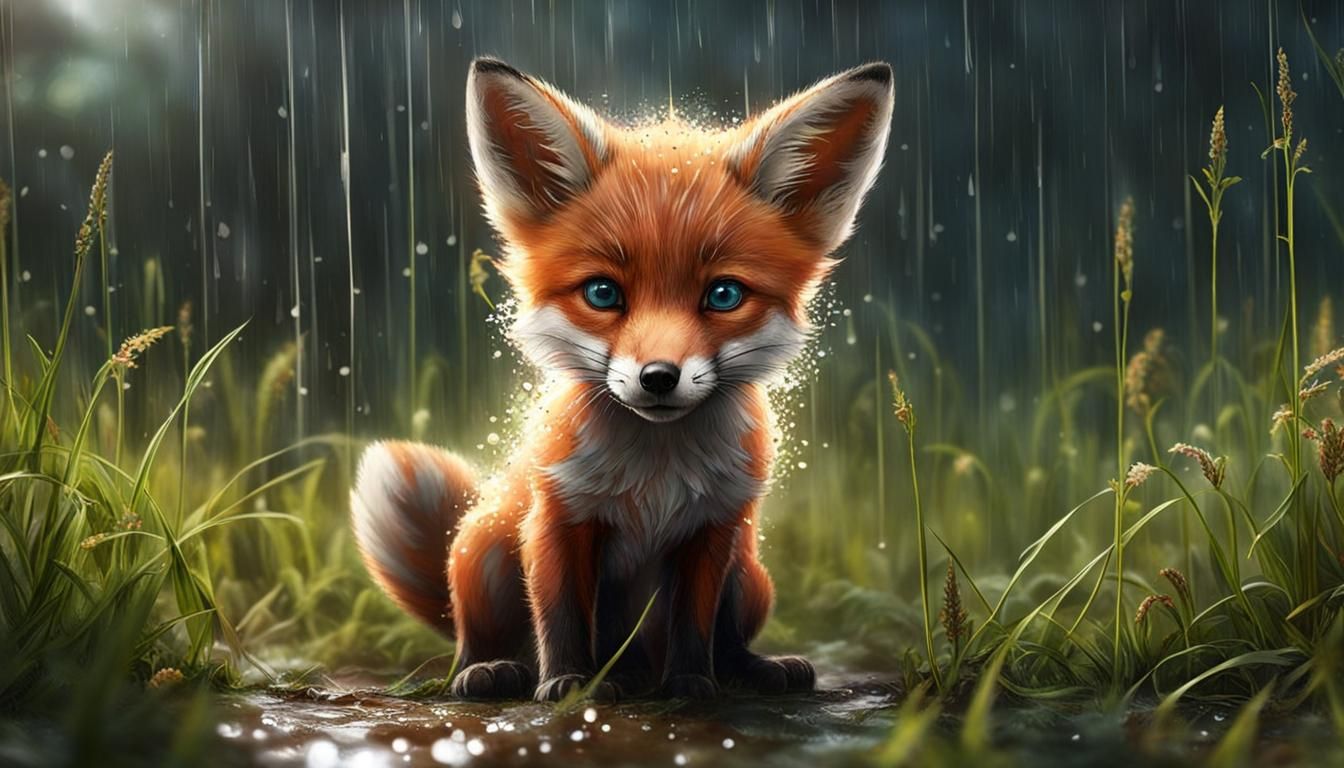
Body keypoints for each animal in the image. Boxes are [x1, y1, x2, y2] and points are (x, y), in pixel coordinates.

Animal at [351, 56, 894, 701]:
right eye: (603, 294)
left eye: (724, 295)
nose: (658, 377)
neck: (653, 479)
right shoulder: (557, 519)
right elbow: (561, 614)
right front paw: (567, 683)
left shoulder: (712, 530)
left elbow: (694, 622)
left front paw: (691, 683)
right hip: (479, 553)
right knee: (473, 636)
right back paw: (497, 671)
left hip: (750, 574)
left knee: (726, 640)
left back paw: (738, 670)